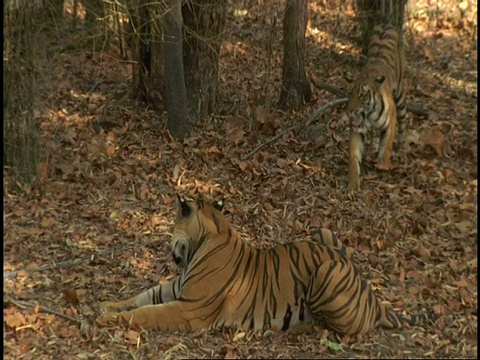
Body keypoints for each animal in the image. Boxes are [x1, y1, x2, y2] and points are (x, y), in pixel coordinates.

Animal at [95, 194, 434, 334]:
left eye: (173, 219)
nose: (169, 251)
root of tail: (375, 299)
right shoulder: (178, 288)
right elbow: (141, 297)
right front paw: (106, 306)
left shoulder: (190, 308)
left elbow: (147, 313)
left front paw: (110, 319)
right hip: (323, 233)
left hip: (327, 272)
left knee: (340, 329)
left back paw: (295, 327)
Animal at [346, 23, 406, 193]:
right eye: (349, 94)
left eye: (362, 95)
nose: (350, 111)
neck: (369, 114)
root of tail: (386, 24)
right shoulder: (357, 130)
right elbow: (353, 158)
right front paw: (353, 186)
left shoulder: (390, 122)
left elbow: (387, 146)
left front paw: (383, 164)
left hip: (400, 94)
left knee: (403, 122)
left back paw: (401, 144)